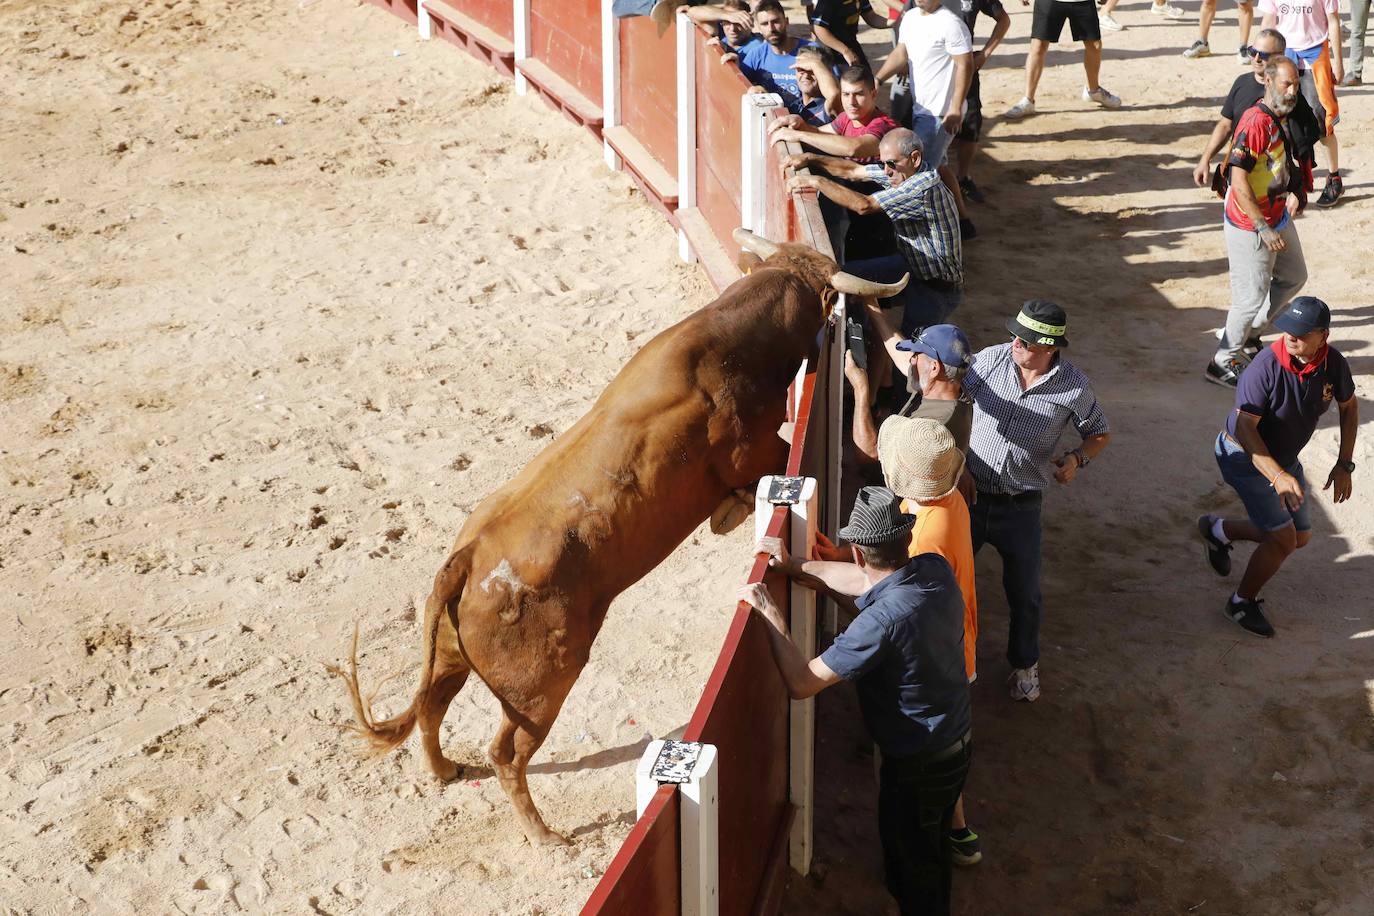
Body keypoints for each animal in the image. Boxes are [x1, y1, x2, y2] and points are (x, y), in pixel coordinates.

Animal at [332, 229, 906, 845]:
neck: (734, 341)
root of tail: (466, 558)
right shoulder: (754, 451)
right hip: (542, 687)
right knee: (506, 752)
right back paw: (545, 836)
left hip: (450, 658)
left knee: (433, 709)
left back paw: (443, 771)